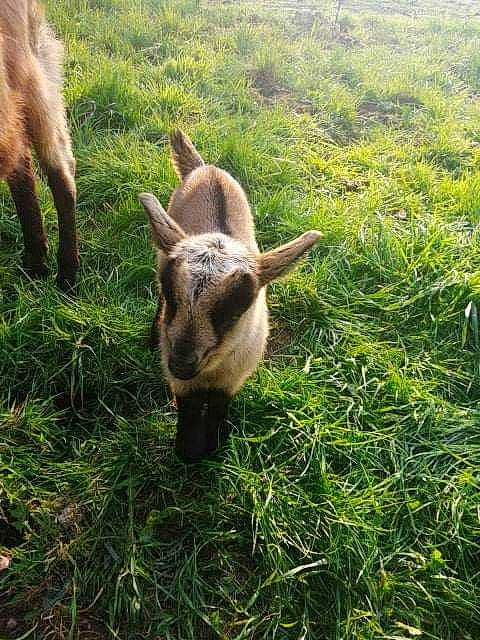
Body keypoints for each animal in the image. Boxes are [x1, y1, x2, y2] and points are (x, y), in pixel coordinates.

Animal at [139, 130, 322, 462]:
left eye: (235, 309)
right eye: (172, 294)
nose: (181, 362)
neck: (211, 371)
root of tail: (205, 168)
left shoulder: (232, 380)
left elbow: (217, 411)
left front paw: (213, 449)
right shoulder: (181, 383)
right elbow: (188, 414)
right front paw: (187, 453)